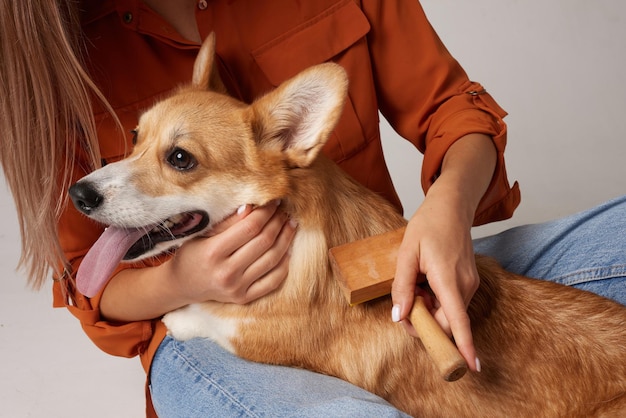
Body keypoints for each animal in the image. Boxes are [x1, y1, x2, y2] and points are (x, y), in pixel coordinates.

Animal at [70, 35, 620, 414]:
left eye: (181, 158)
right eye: (135, 136)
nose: (78, 194)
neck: (300, 239)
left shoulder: (262, 338)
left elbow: (214, 318)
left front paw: (180, 316)